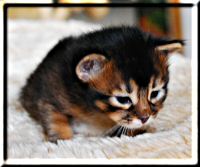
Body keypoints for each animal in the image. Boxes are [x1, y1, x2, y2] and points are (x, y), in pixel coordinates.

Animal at [19, 26, 183, 142]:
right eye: (123, 99)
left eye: (155, 93)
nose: (145, 118)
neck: (96, 111)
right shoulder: (50, 89)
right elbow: (54, 116)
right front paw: (61, 138)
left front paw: (143, 131)